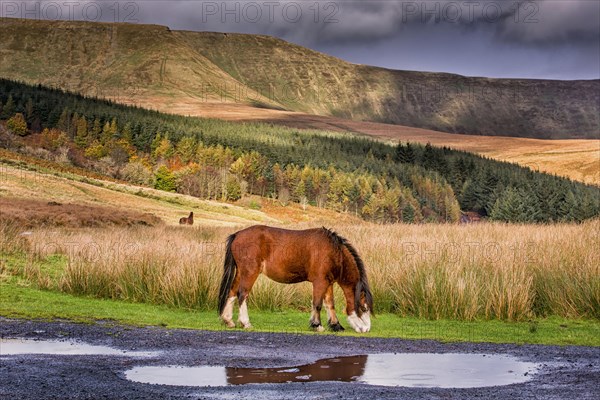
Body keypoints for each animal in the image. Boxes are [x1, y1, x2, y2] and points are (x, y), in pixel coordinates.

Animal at [217, 227, 376, 332]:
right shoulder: (320, 282)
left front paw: (335, 325)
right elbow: (317, 304)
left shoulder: (328, 282)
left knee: (232, 292)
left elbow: (330, 304)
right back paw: (245, 323)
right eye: (363, 308)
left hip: (240, 272)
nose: (366, 329)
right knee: (242, 294)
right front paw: (317, 325)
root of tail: (237, 234)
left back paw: (228, 320)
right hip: (250, 272)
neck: (334, 252)